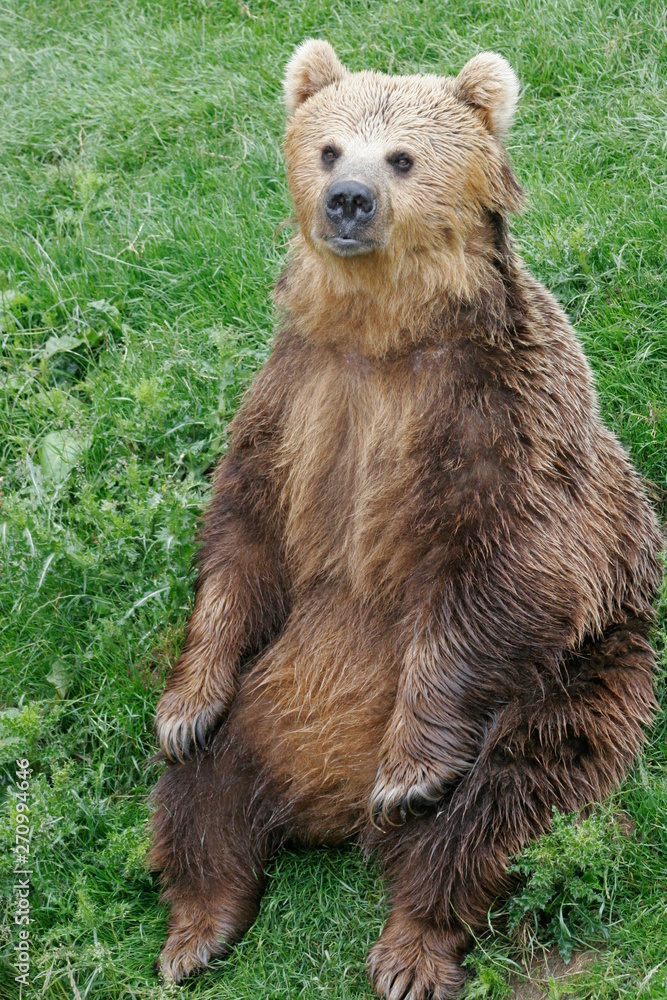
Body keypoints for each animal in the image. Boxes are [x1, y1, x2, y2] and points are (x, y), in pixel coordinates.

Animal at [150, 40, 663, 999]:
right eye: (326, 148)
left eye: (400, 157)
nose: (347, 200)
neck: (379, 337)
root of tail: (318, 807)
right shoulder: (290, 403)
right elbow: (241, 536)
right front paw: (181, 707)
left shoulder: (500, 419)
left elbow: (505, 574)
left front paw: (408, 771)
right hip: (260, 704)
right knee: (195, 802)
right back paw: (195, 927)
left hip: (578, 683)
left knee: (500, 805)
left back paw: (410, 943)